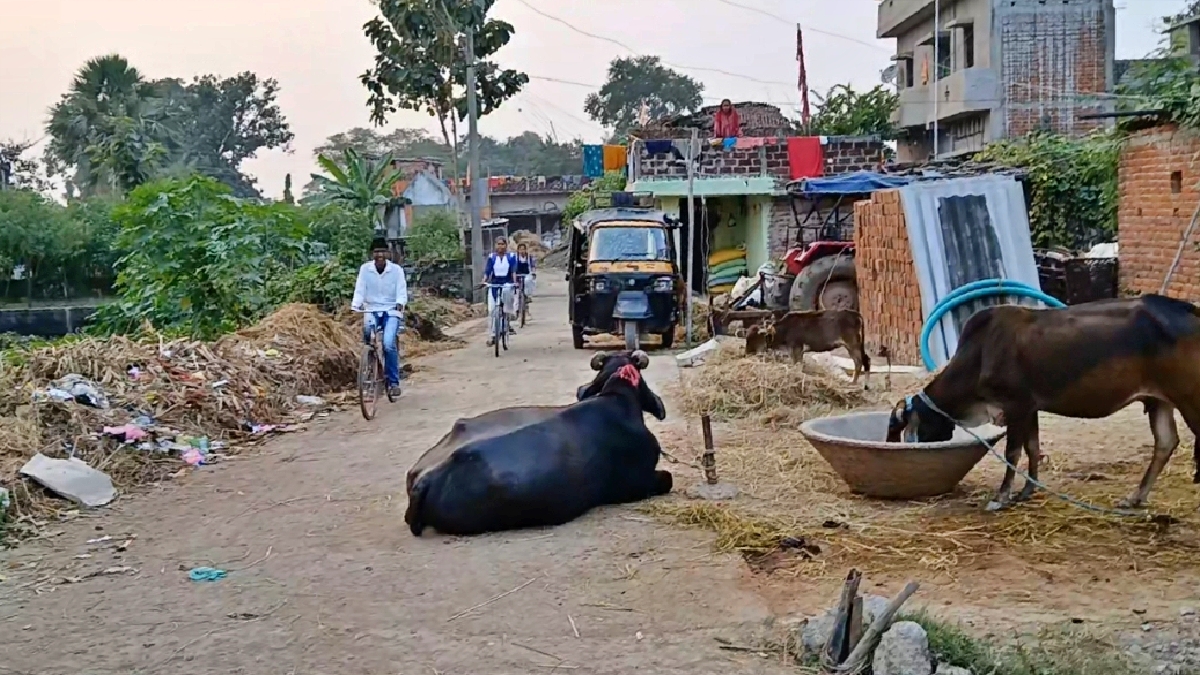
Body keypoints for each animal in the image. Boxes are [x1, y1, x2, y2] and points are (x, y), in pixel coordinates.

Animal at [739, 309, 873, 384]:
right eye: (747, 337)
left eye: (755, 339)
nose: (746, 353)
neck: (784, 329)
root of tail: (855, 314)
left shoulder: (796, 347)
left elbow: (797, 365)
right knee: (866, 360)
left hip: (852, 344)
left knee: (859, 361)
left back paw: (853, 382)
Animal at [888, 294, 1200, 509]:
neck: (980, 353)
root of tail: (1190, 310)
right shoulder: (1030, 408)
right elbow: (1033, 447)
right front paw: (1027, 491)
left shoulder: (1016, 405)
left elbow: (1013, 452)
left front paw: (1001, 497)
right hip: (1159, 400)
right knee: (1166, 442)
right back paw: (1135, 497)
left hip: (1189, 398)